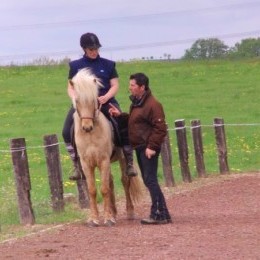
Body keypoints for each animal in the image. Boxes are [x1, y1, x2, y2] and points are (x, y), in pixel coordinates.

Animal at [70, 68, 142, 226]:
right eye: (77, 101)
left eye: (94, 100)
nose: (87, 127)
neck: (91, 135)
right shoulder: (86, 163)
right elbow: (92, 190)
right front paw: (94, 219)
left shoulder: (103, 160)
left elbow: (104, 189)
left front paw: (108, 218)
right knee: (111, 182)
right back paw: (114, 212)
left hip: (121, 158)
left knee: (124, 180)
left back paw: (129, 212)